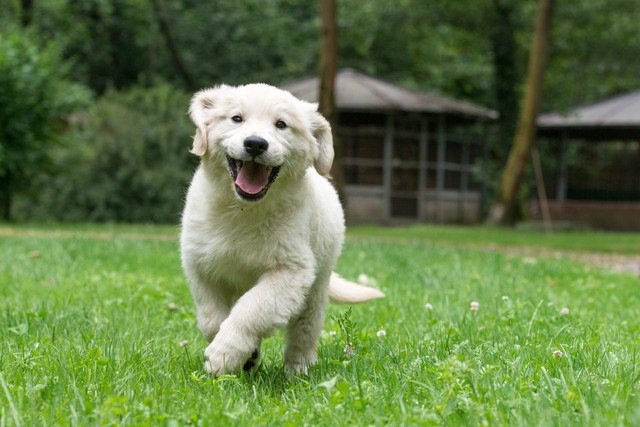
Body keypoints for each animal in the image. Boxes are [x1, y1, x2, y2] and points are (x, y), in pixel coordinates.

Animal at [178, 82, 382, 376]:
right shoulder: (200, 266)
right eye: (236, 118)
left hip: (316, 288)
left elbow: (250, 309)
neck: (244, 210)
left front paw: (224, 354)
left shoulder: (290, 271)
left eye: (281, 124)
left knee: (303, 333)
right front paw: (246, 354)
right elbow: (211, 318)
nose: (255, 143)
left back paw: (297, 371)